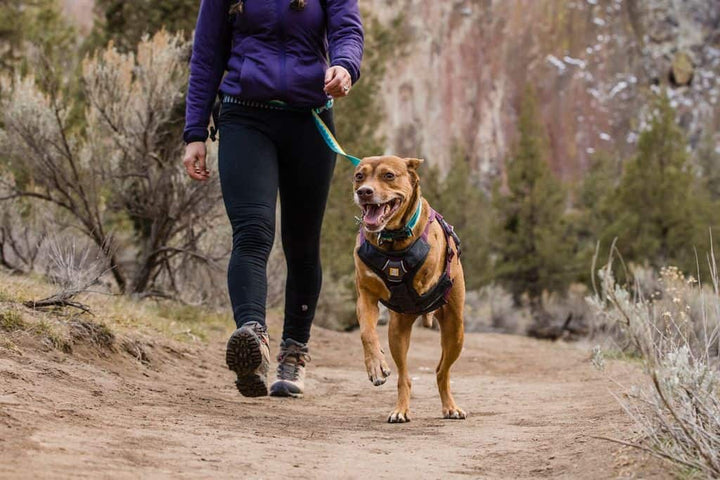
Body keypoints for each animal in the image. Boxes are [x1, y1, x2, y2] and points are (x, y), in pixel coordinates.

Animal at [352, 156, 466, 422]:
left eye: (389, 176)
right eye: (359, 176)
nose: (364, 192)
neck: (393, 240)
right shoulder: (366, 296)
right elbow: (366, 333)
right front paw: (375, 365)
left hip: (456, 330)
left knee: (442, 371)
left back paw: (450, 406)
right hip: (398, 332)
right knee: (405, 375)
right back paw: (401, 409)